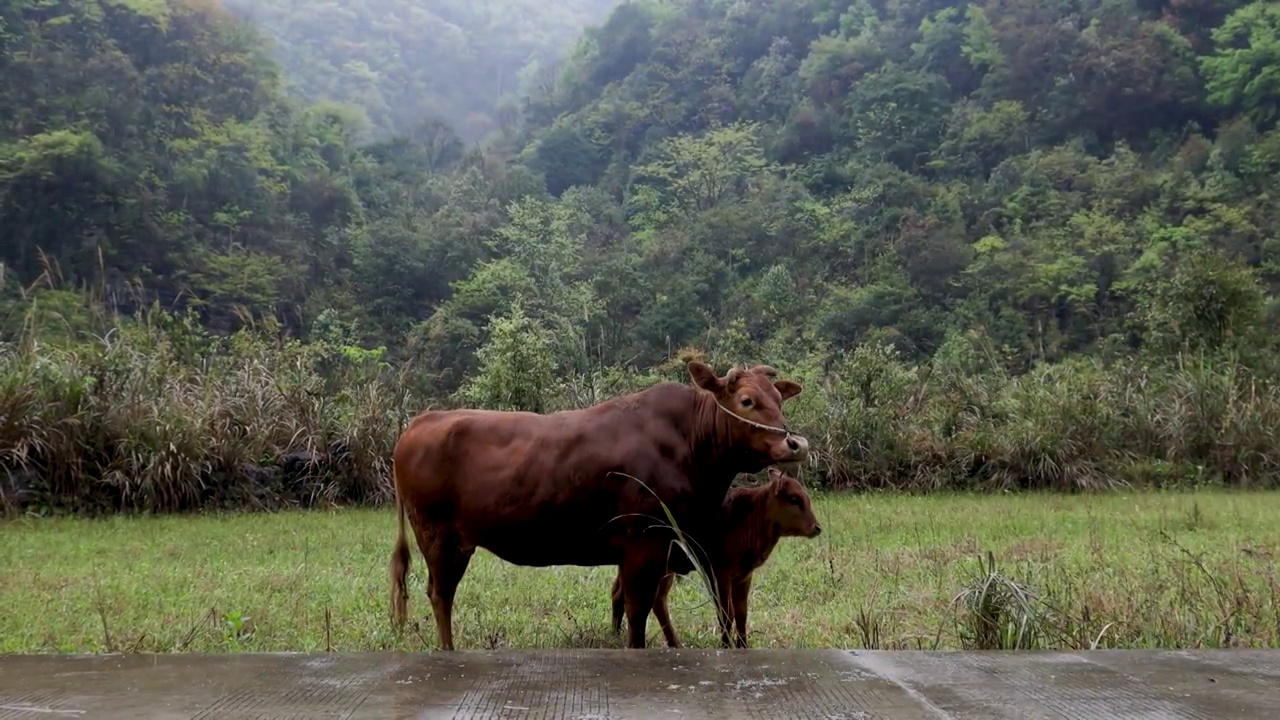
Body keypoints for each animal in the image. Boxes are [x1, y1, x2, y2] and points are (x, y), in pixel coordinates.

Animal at [606, 466, 819, 645]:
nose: (817, 528)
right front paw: (726, 645)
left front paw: (743, 646)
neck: (748, 517)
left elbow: (741, 613)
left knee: (643, 597)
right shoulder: (720, 572)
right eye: (794, 499)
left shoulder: (744, 576)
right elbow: (726, 613)